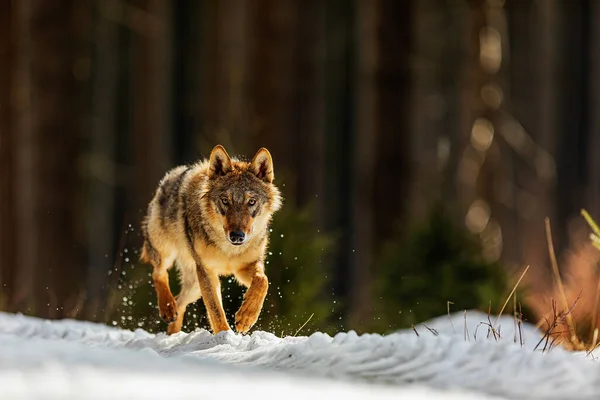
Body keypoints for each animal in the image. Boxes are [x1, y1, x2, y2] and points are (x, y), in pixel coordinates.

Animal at [139, 144, 282, 334]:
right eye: (225, 201)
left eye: (251, 202)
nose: (237, 236)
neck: (229, 249)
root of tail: (170, 177)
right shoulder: (207, 272)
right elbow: (215, 310)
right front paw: (224, 335)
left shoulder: (245, 267)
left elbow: (263, 281)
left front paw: (246, 317)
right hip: (166, 253)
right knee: (159, 273)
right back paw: (168, 309)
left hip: (194, 286)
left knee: (180, 301)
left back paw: (173, 331)